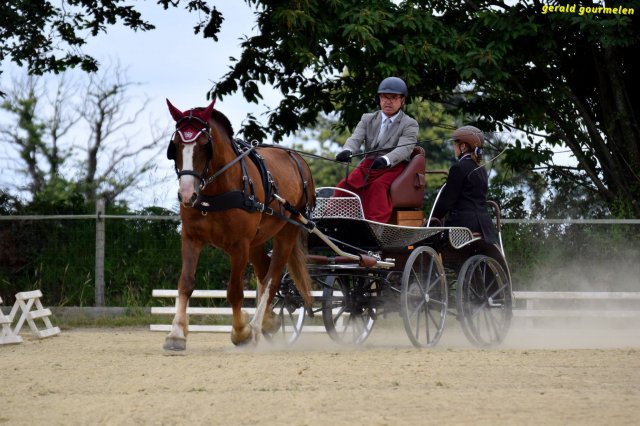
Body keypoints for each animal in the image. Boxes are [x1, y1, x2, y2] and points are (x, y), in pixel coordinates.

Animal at [163, 98, 315, 350]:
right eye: (175, 146)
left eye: (204, 145)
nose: (186, 194)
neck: (216, 192)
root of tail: (297, 160)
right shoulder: (191, 238)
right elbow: (185, 283)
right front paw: (176, 334)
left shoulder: (239, 245)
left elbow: (234, 291)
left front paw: (241, 331)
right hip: (257, 240)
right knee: (264, 271)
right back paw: (268, 321)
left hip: (288, 230)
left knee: (273, 278)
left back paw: (255, 326)